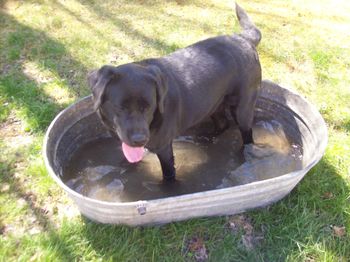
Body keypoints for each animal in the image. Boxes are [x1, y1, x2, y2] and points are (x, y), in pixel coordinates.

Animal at [89, 3, 262, 181]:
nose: (139, 140)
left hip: (243, 107)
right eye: (120, 107)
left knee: (247, 135)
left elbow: (168, 175)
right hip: (213, 103)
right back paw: (205, 140)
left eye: (149, 107)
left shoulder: (164, 147)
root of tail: (243, 38)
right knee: (223, 123)